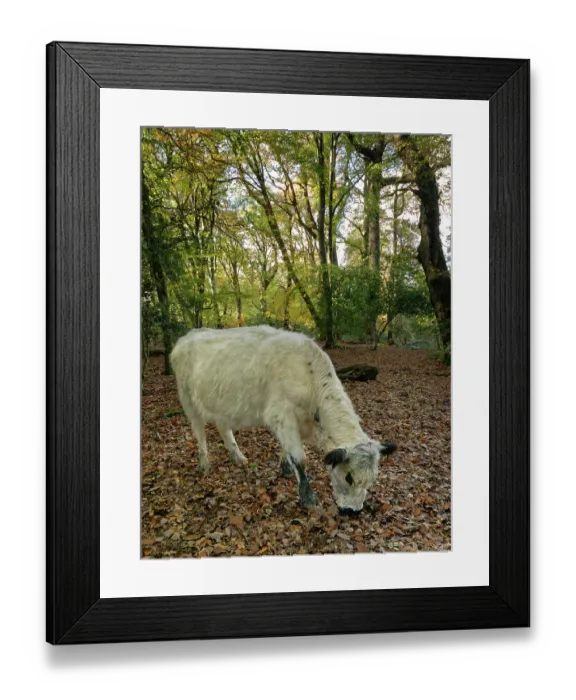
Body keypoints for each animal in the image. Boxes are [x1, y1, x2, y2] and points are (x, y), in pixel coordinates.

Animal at [170, 325, 396, 515]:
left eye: (373, 479)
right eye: (349, 477)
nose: (353, 512)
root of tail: (186, 337)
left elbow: (285, 448)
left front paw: (285, 468)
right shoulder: (282, 415)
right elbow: (300, 458)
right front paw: (308, 498)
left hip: (221, 405)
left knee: (223, 428)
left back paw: (238, 457)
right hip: (189, 401)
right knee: (199, 432)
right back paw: (205, 463)